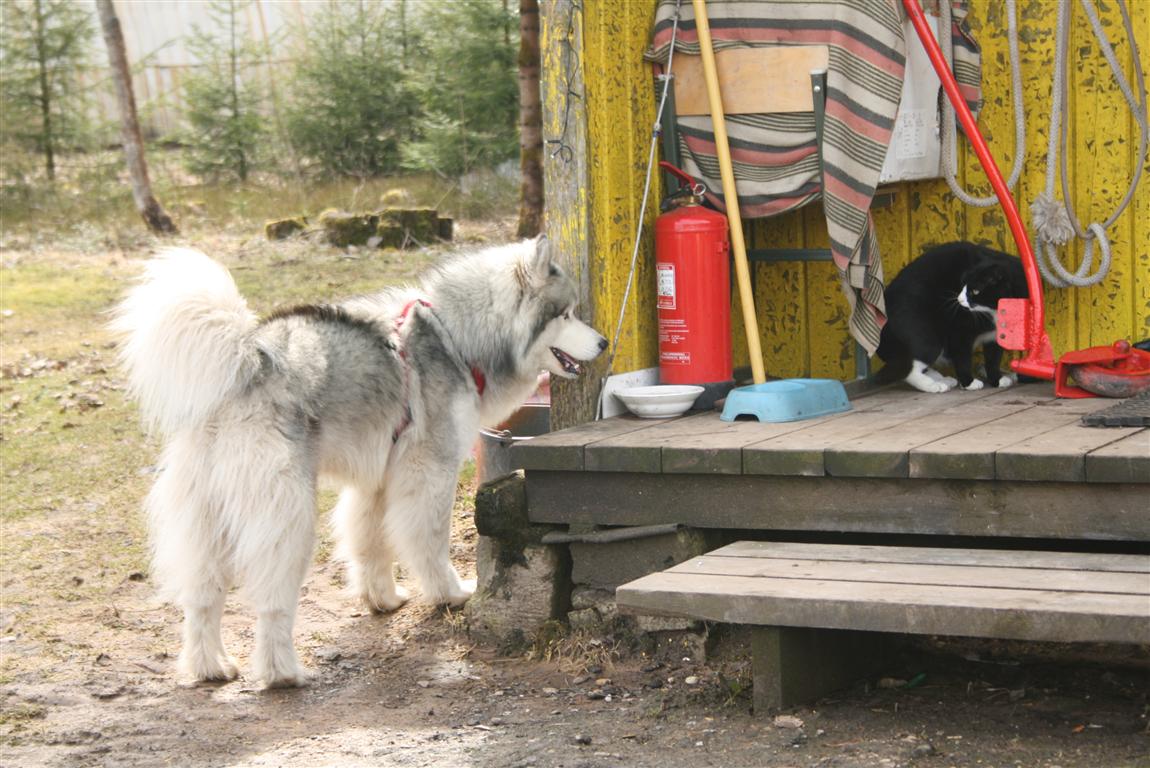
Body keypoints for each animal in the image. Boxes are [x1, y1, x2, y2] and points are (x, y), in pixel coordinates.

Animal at [112, 236, 607, 685]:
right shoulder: (429, 473)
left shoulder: (377, 479)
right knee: (271, 603)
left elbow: (371, 543)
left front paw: (382, 599)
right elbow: (430, 542)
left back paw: (210, 667)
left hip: (206, 521)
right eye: (565, 314)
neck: (455, 336)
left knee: (201, 600)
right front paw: (450, 594)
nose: (603, 342)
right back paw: (282, 672)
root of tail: (245, 361)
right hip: (288, 518)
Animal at [874, 241, 1030, 395]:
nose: (958, 299)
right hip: (927, 335)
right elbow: (962, 357)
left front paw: (997, 379)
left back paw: (941, 378)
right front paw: (968, 383)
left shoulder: (996, 335)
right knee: (908, 368)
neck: (993, 312)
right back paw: (934, 385)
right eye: (962, 285)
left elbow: (994, 358)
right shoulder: (959, 330)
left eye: (975, 291)